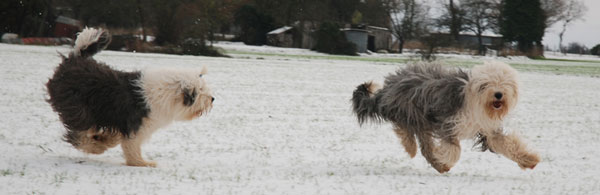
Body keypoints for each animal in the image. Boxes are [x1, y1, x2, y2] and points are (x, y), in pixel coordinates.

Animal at [46, 27, 213, 168]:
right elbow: (131, 147)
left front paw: (107, 139)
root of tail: (75, 58)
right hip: (78, 107)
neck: (166, 93)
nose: (212, 99)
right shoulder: (136, 125)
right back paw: (97, 146)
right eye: (199, 91)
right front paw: (142, 163)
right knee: (79, 134)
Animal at [350, 61, 540, 173]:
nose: (499, 94)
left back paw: (438, 165)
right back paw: (413, 149)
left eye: (505, 83)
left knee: (425, 147)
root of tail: (390, 85)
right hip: (411, 112)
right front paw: (444, 156)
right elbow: (454, 149)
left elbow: (507, 144)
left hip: (421, 122)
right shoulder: (447, 121)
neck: (474, 101)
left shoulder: (489, 129)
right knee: (403, 129)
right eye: (486, 84)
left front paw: (529, 159)